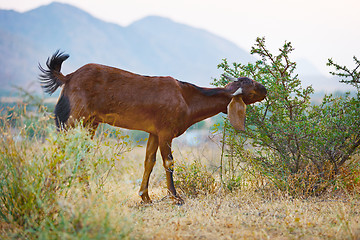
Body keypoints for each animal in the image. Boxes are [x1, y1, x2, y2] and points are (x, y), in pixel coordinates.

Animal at [38, 51, 268, 204]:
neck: (186, 98)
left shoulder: (154, 132)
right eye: (250, 86)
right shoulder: (166, 132)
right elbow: (169, 162)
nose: (265, 89)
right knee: (62, 150)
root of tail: (68, 77)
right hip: (73, 120)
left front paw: (145, 197)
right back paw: (52, 190)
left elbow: (149, 161)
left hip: (89, 123)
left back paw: (84, 191)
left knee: (79, 152)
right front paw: (176, 197)